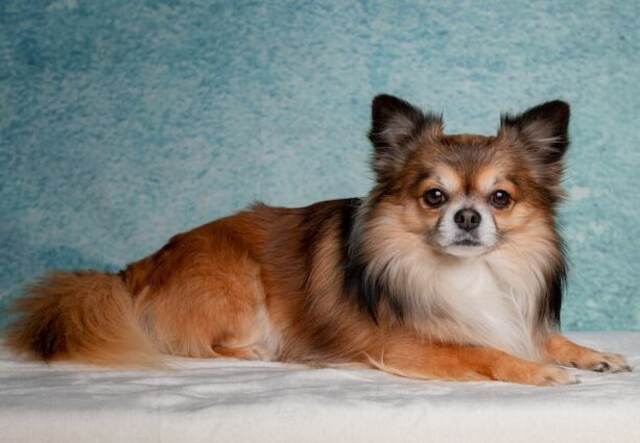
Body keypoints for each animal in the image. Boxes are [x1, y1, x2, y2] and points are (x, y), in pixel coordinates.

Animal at [5, 94, 632, 386]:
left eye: (500, 198)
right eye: (434, 196)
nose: (469, 216)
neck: (466, 274)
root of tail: (133, 269)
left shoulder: (506, 314)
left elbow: (543, 337)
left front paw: (591, 354)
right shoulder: (399, 344)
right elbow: (479, 351)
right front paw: (536, 370)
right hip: (235, 281)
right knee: (196, 342)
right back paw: (260, 352)